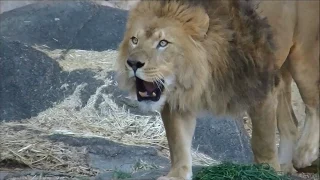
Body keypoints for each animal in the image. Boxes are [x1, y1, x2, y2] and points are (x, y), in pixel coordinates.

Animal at [114, 0, 318, 179]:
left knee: (314, 106)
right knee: (291, 122)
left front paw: (266, 171)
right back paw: (285, 166)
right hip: (280, 72)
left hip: (303, 58)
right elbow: (178, 141)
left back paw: (304, 154)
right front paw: (176, 175)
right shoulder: (177, 100)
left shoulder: (261, 88)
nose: (133, 63)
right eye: (134, 40)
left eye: (163, 43)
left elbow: (263, 140)